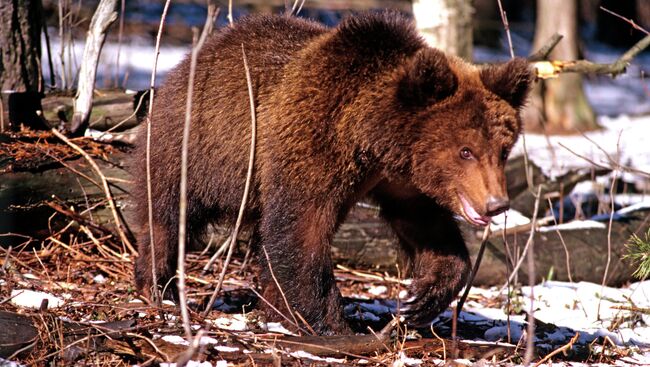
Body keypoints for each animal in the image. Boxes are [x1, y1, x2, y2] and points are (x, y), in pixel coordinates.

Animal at [130, 11, 532, 334]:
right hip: (195, 147)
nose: (496, 203)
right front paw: (331, 323)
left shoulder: (400, 177)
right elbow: (301, 230)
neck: (369, 139)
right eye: (465, 151)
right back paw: (159, 286)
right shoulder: (312, 146)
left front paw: (422, 298)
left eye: (503, 149)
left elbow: (425, 224)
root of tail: (189, 60)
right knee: (167, 214)